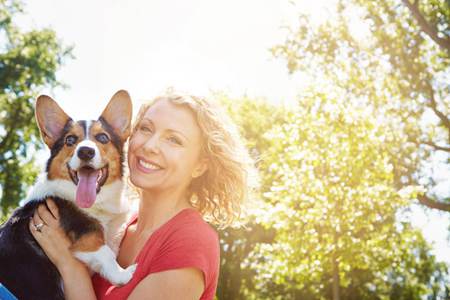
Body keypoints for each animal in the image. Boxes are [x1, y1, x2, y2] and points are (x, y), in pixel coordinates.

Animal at [0, 91, 134, 300]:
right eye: (70, 140)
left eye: (103, 138)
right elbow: (105, 253)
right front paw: (125, 274)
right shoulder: (86, 237)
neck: (97, 203)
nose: (85, 151)